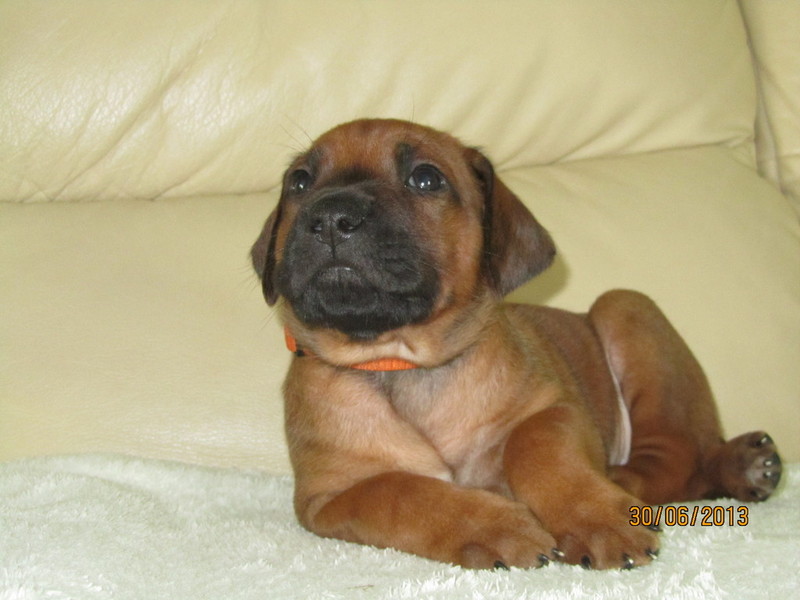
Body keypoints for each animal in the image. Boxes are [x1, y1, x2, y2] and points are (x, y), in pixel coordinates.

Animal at [251, 119, 782, 570]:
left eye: (425, 179)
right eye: (299, 182)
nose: (331, 216)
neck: (400, 363)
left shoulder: (555, 408)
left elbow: (536, 447)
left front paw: (595, 516)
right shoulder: (330, 494)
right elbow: (400, 491)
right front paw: (497, 526)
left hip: (626, 308)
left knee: (675, 462)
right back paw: (746, 466)